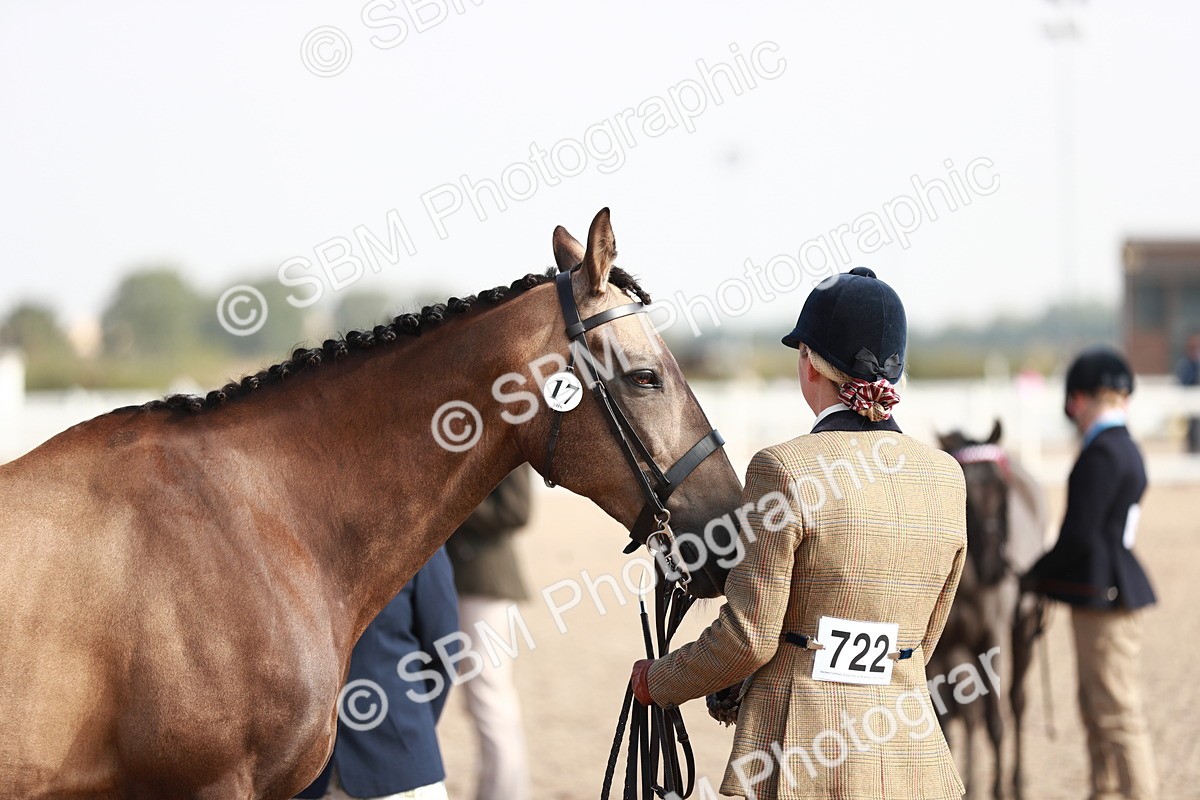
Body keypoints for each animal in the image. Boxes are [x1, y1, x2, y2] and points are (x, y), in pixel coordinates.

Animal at [933, 420, 1048, 800]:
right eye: (965, 492)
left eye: (1001, 489)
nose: (994, 567)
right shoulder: (941, 650)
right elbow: (947, 721)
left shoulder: (991, 639)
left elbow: (995, 722)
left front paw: (998, 789)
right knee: (968, 714)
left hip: (1023, 628)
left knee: (1015, 702)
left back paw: (1016, 782)